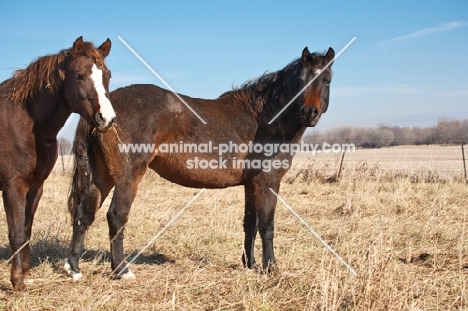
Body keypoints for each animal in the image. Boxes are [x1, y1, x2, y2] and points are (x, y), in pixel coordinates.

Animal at [0, 37, 116, 292]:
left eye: (108, 75)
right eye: (80, 76)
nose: (107, 118)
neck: (27, 120)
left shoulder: (35, 187)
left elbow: (26, 229)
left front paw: (26, 273)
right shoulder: (13, 186)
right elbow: (15, 233)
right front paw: (17, 282)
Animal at [66, 45, 334, 280]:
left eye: (327, 80)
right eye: (300, 81)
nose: (309, 112)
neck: (264, 119)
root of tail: (104, 111)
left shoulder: (251, 184)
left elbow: (250, 223)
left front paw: (250, 264)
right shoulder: (268, 181)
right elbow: (267, 226)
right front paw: (271, 268)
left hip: (101, 177)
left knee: (84, 214)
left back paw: (74, 268)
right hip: (127, 177)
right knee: (116, 216)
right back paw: (122, 270)